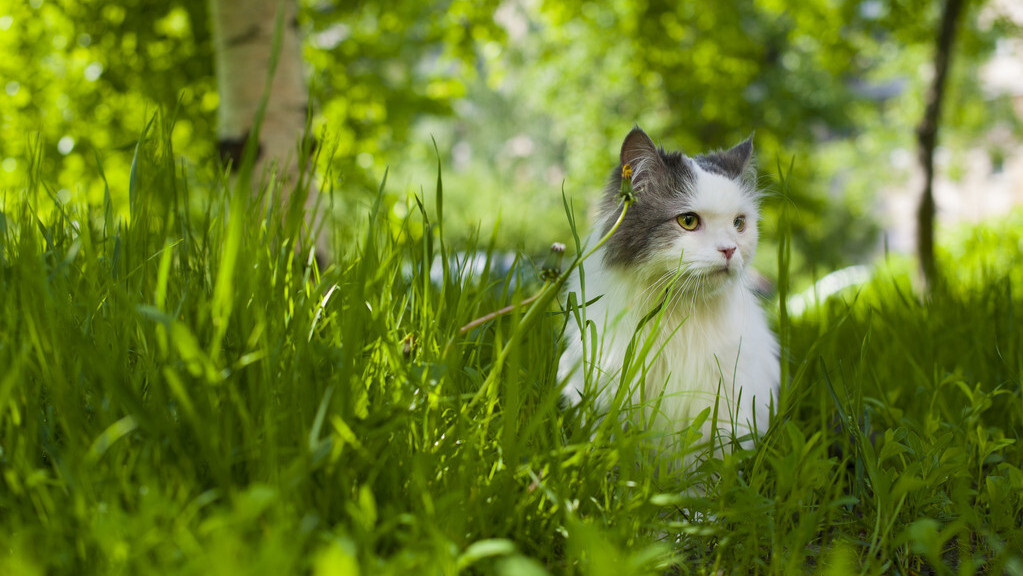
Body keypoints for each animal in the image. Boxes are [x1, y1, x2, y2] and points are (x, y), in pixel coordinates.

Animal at [556, 127, 777, 460]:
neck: (677, 315)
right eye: (688, 221)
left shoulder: (721, 405)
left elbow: (705, 465)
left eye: (739, 223)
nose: (730, 250)